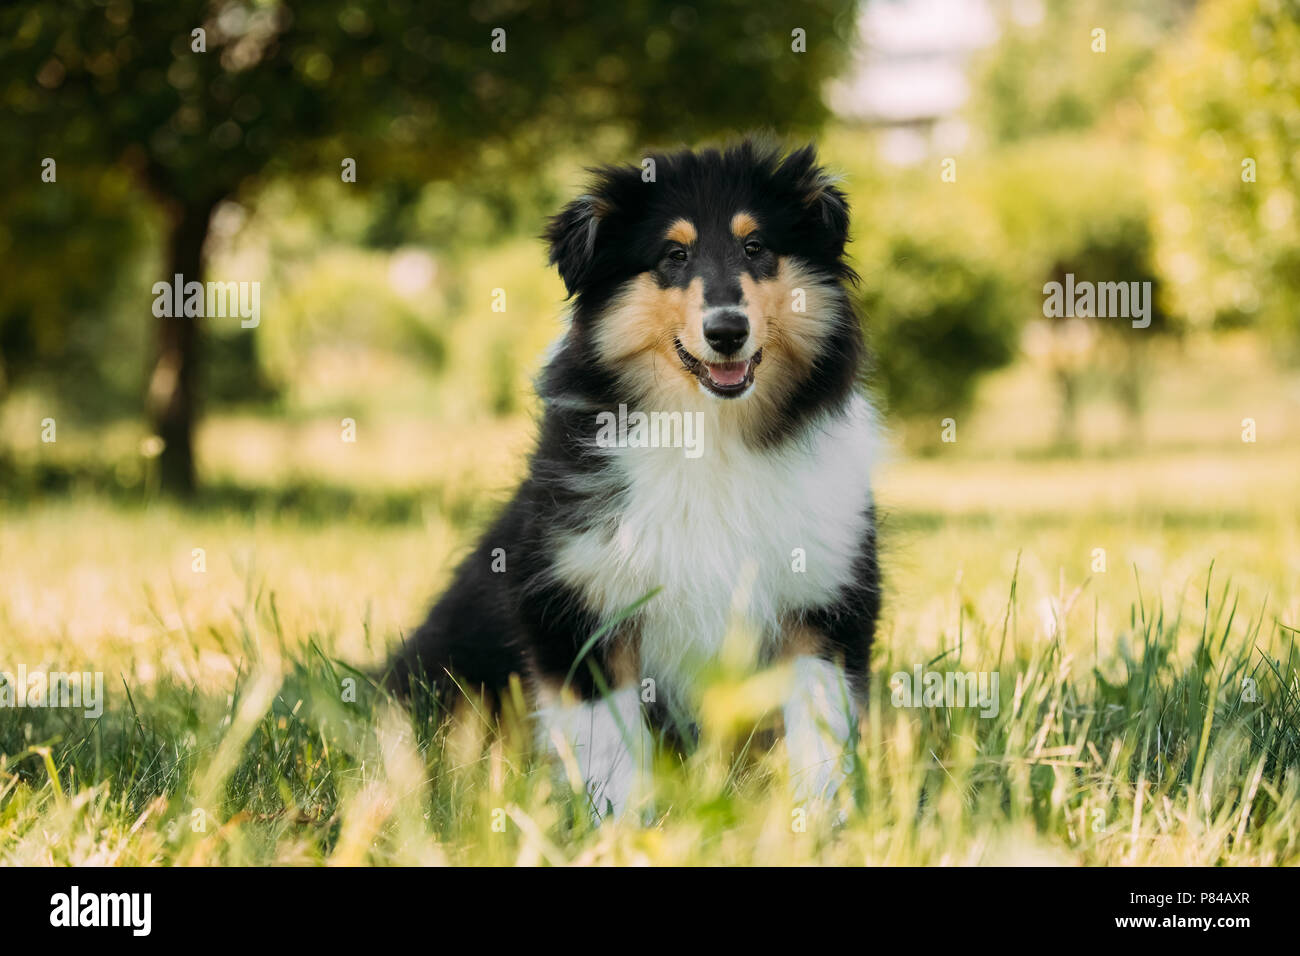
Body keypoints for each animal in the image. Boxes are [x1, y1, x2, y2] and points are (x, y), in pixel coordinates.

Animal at [392, 138, 883, 816]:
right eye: (673, 256)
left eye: (756, 246)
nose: (726, 332)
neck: (710, 436)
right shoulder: (580, 604)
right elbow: (608, 740)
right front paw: (618, 823)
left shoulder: (823, 602)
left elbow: (819, 726)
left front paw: (823, 819)